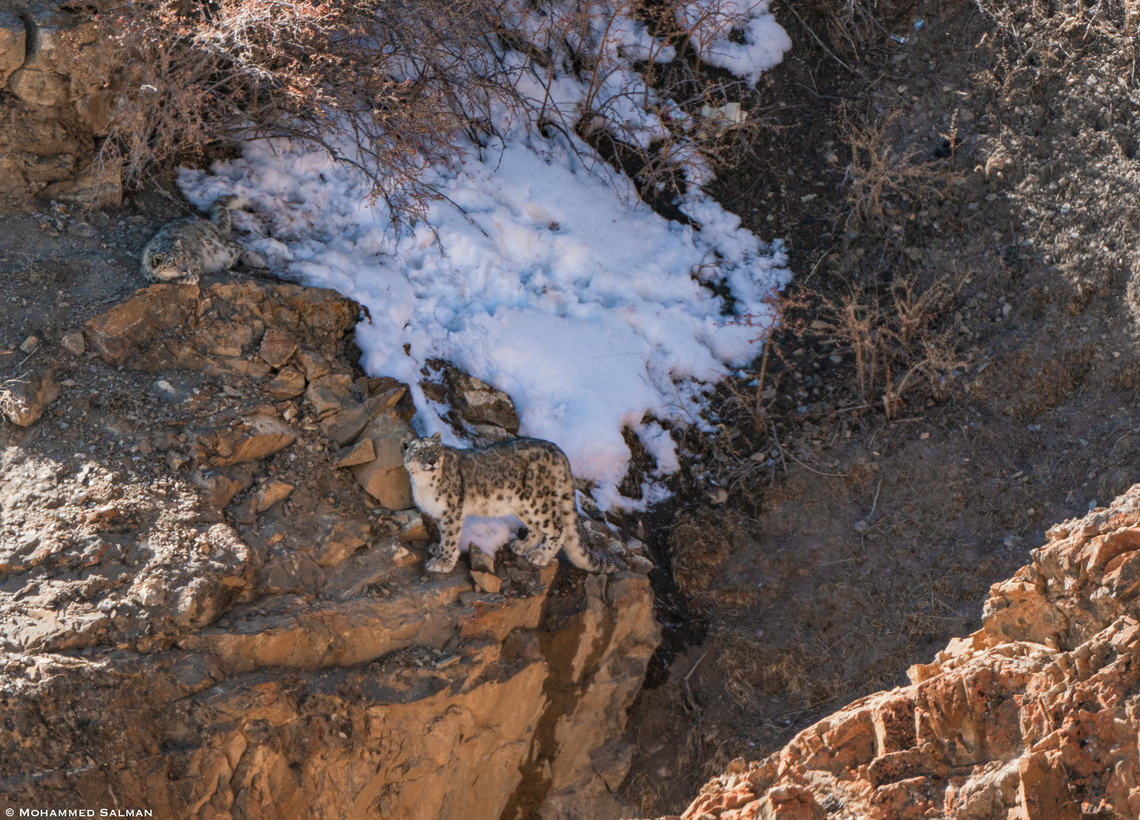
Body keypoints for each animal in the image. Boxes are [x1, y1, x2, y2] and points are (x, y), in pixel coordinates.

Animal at [402, 433, 614, 574]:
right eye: (419, 452)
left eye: (435, 449)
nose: (432, 461)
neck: (422, 485)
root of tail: (557, 449)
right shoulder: (439, 513)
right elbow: (443, 534)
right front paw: (437, 549)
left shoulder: (451, 511)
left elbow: (450, 537)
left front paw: (443, 561)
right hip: (523, 505)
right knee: (537, 528)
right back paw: (522, 545)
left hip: (538, 502)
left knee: (558, 527)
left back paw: (540, 555)